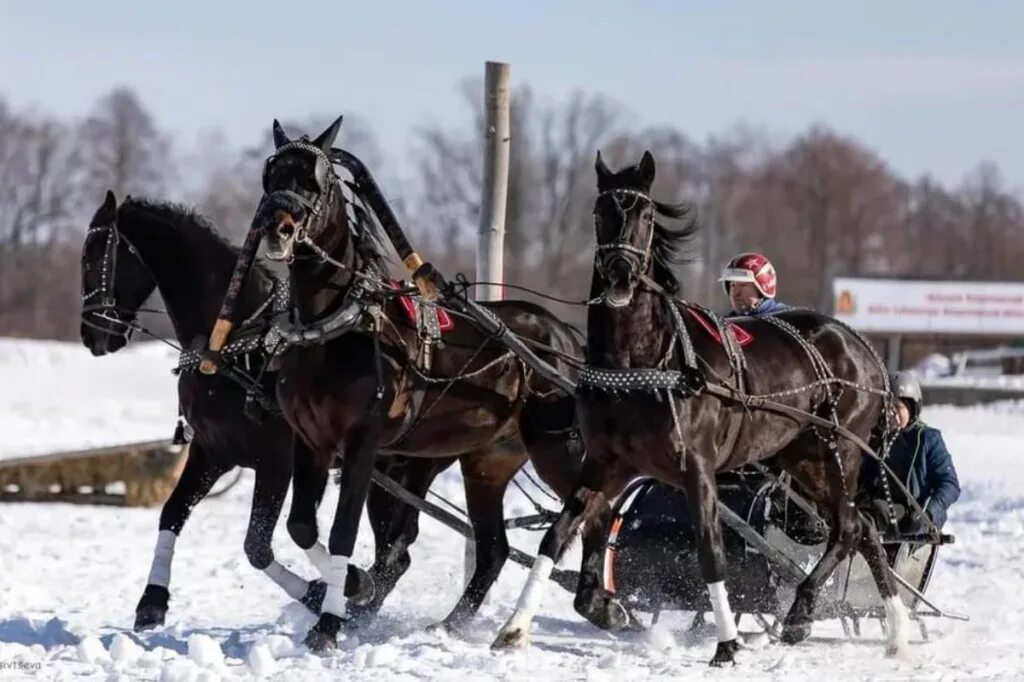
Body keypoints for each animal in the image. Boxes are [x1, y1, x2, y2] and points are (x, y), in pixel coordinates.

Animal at [251, 118, 593, 647]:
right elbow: (303, 527)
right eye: (271, 176)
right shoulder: (310, 440)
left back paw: (529, 620)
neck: (336, 328)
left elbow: (343, 532)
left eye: (314, 180)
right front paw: (355, 584)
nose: (277, 226)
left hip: (559, 444)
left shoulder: (363, 443)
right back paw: (455, 623)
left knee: (585, 509)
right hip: (487, 461)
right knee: (495, 547)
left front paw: (329, 622)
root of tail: (564, 336)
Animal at [491, 152, 909, 663]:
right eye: (600, 210)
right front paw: (521, 626)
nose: (620, 272)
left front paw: (727, 643)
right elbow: (558, 535)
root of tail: (860, 345)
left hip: (838, 450)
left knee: (848, 527)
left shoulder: (698, 467)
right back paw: (894, 631)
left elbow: (710, 550)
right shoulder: (605, 464)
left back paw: (803, 612)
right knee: (864, 528)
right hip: (803, 457)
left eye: (647, 215)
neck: (644, 362)